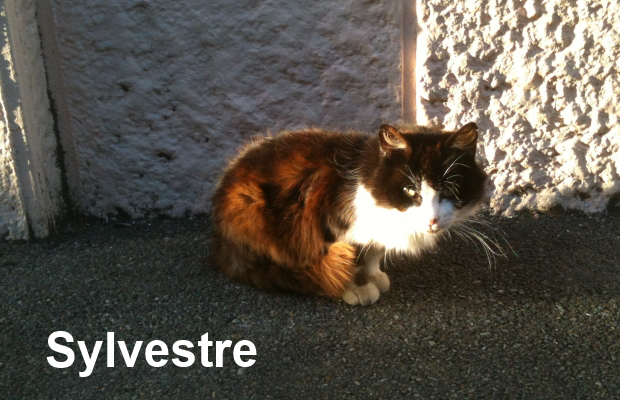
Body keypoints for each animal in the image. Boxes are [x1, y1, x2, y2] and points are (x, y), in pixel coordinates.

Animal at [210, 123, 487, 305]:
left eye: (449, 189)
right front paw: (356, 287)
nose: (432, 219)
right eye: (410, 191)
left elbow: (373, 253)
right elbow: (348, 258)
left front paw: (373, 275)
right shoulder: (328, 222)